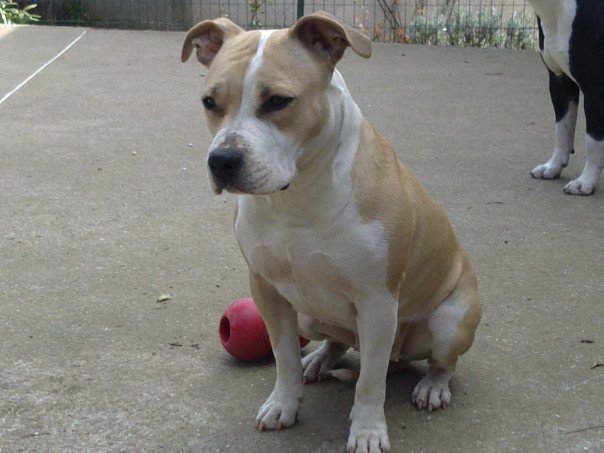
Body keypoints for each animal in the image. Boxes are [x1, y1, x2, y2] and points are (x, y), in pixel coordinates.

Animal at [183, 11, 482, 452]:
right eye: (209, 102)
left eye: (278, 101)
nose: (222, 160)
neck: (297, 198)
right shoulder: (266, 289)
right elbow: (284, 358)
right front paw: (284, 404)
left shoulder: (377, 302)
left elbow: (370, 381)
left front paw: (368, 430)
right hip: (308, 313)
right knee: (334, 340)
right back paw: (320, 360)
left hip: (449, 321)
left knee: (441, 361)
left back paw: (432, 386)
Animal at [528, 0, 604, 194]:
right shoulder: (560, 83)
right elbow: (563, 130)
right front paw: (553, 167)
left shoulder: (596, 90)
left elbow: (593, 141)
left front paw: (585, 181)